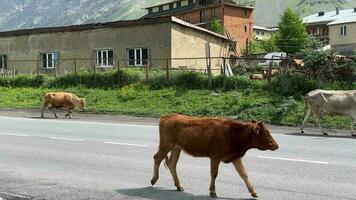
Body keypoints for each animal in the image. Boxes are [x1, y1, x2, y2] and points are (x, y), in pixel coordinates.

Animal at [150, 113, 278, 198]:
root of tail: (168, 116)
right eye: (266, 134)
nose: (276, 145)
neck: (233, 134)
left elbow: (244, 174)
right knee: (157, 158)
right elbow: (214, 174)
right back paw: (154, 179)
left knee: (172, 164)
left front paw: (253, 192)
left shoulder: (236, 157)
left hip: (177, 148)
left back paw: (178, 186)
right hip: (166, 145)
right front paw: (212, 192)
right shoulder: (215, 157)